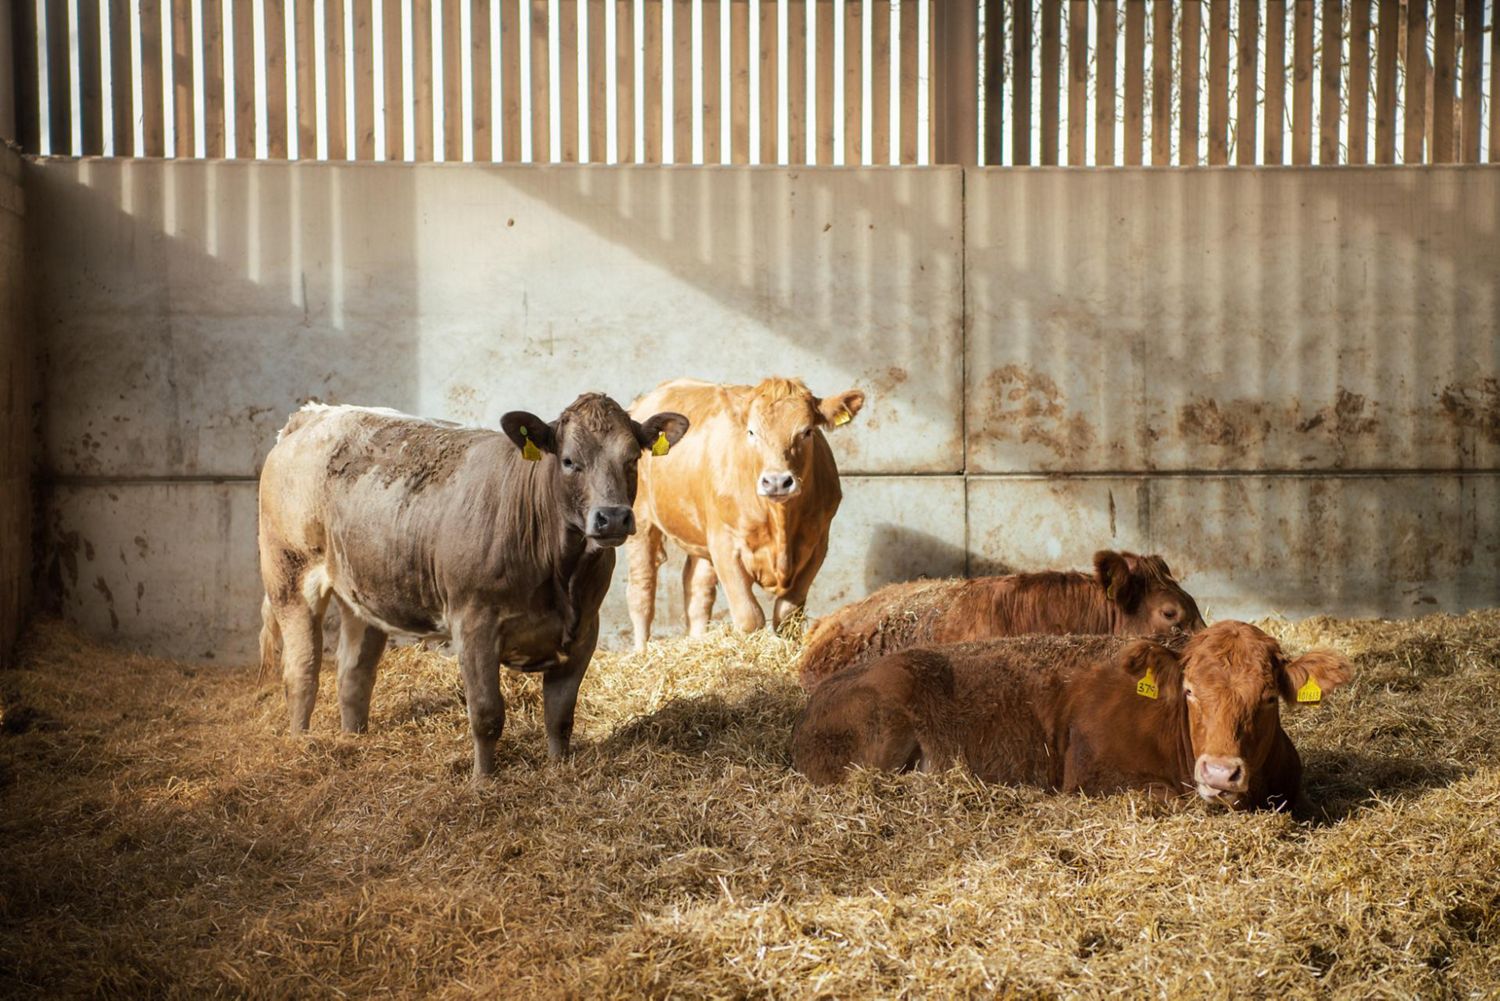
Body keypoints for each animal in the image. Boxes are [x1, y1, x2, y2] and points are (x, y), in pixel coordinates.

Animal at [257, 395, 689, 780]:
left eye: (632, 459)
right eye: (569, 461)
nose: (612, 517)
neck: (559, 573)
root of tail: (315, 414)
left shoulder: (585, 628)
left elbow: (560, 714)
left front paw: (558, 769)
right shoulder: (474, 623)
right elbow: (486, 713)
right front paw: (483, 781)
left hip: (363, 594)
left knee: (354, 673)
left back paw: (353, 740)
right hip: (289, 575)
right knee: (302, 670)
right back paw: (300, 744)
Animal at [625, 377, 865, 651]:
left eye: (807, 432)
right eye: (751, 433)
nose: (777, 482)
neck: (780, 522)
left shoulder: (817, 546)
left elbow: (787, 615)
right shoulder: (725, 546)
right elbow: (750, 617)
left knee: (697, 589)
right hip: (641, 521)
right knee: (642, 591)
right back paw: (641, 651)